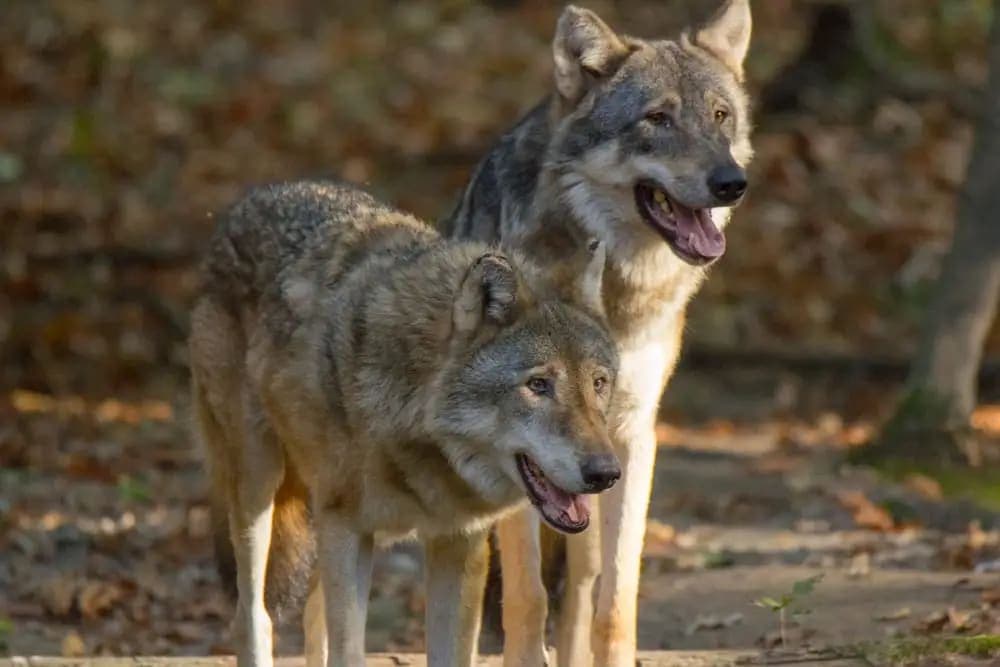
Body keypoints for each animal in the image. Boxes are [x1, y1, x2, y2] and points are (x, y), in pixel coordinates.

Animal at [190, 181, 623, 667]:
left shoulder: (459, 542)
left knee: (312, 618)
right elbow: (348, 652)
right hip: (259, 489)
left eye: (599, 383)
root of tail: (253, 198)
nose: (606, 474)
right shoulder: (348, 530)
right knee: (252, 616)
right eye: (538, 384)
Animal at [444, 2, 754, 666]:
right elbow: (527, 595)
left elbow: (616, 596)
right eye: (657, 118)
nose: (731, 182)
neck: (613, 288)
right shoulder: (517, 451)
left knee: (582, 583)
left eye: (720, 116)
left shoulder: (634, 437)